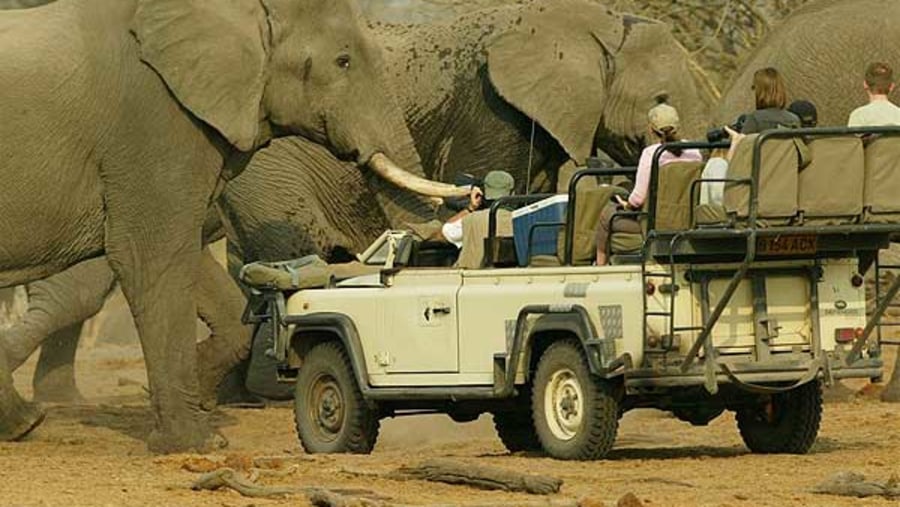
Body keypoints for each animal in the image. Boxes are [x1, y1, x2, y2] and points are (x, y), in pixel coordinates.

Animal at [0, 0, 460, 452]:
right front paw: (199, 443)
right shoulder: (157, 123)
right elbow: (152, 254)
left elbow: (185, 259)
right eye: (343, 61)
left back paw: (24, 422)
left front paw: (202, 397)